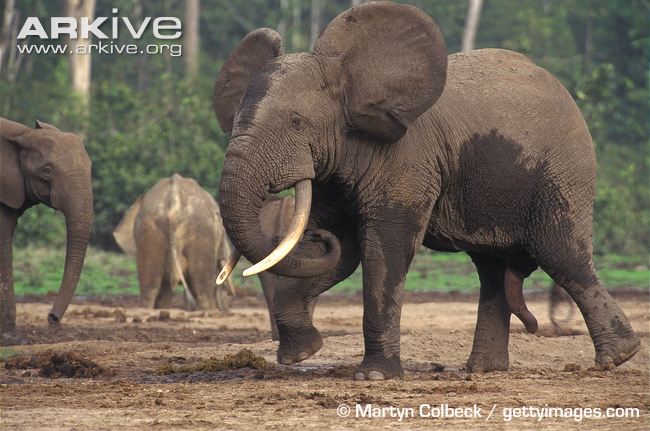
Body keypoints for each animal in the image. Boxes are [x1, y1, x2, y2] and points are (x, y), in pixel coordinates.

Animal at [212, 2, 640, 380]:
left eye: (297, 123)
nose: (318, 235)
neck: (346, 73)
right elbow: (339, 253)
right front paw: (301, 354)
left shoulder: (407, 158)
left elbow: (383, 247)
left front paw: (374, 376)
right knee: (492, 270)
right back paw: (483, 370)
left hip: (563, 171)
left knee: (560, 253)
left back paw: (617, 358)